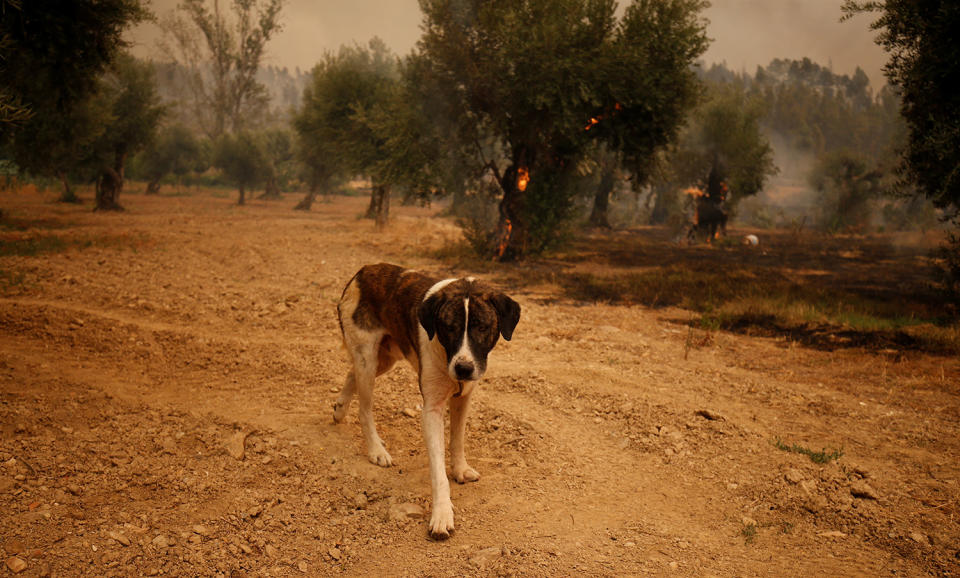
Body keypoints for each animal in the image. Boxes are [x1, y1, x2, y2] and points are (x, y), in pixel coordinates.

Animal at [334, 264, 520, 536]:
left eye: (483, 327)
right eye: (448, 327)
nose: (463, 368)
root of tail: (364, 270)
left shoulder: (464, 397)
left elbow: (457, 440)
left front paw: (460, 469)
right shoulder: (431, 409)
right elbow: (437, 469)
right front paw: (442, 514)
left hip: (385, 358)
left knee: (351, 373)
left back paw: (339, 408)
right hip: (368, 358)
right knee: (364, 408)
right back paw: (376, 449)